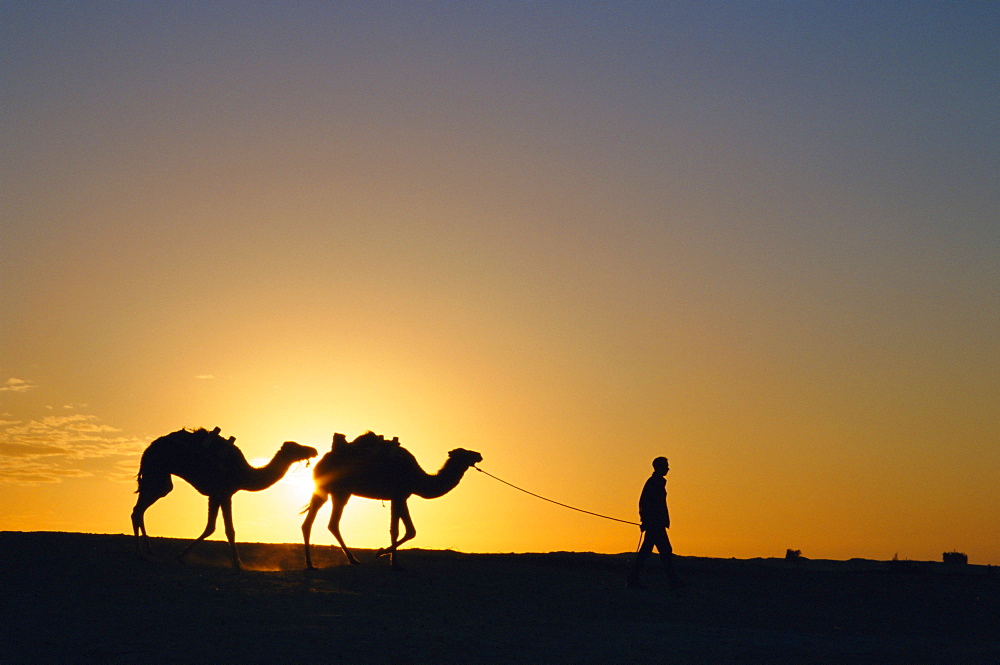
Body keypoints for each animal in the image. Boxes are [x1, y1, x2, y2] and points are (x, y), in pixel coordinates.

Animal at [131, 428, 314, 568]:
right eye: (296, 448)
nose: (313, 450)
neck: (243, 473)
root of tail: (148, 449)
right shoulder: (224, 493)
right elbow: (228, 529)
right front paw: (238, 563)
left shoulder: (216, 494)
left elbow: (210, 527)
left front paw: (182, 556)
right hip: (156, 471)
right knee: (137, 511)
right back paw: (139, 553)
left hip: (159, 477)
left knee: (141, 509)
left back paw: (148, 549)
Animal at [300, 434, 480, 568]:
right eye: (463, 453)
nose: (479, 455)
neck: (417, 478)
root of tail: (322, 461)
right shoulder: (399, 494)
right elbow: (402, 530)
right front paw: (385, 556)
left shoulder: (399, 496)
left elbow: (404, 530)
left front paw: (390, 558)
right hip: (336, 490)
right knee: (324, 523)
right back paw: (336, 561)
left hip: (331, 491)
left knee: (319, 523)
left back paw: (322, 562)